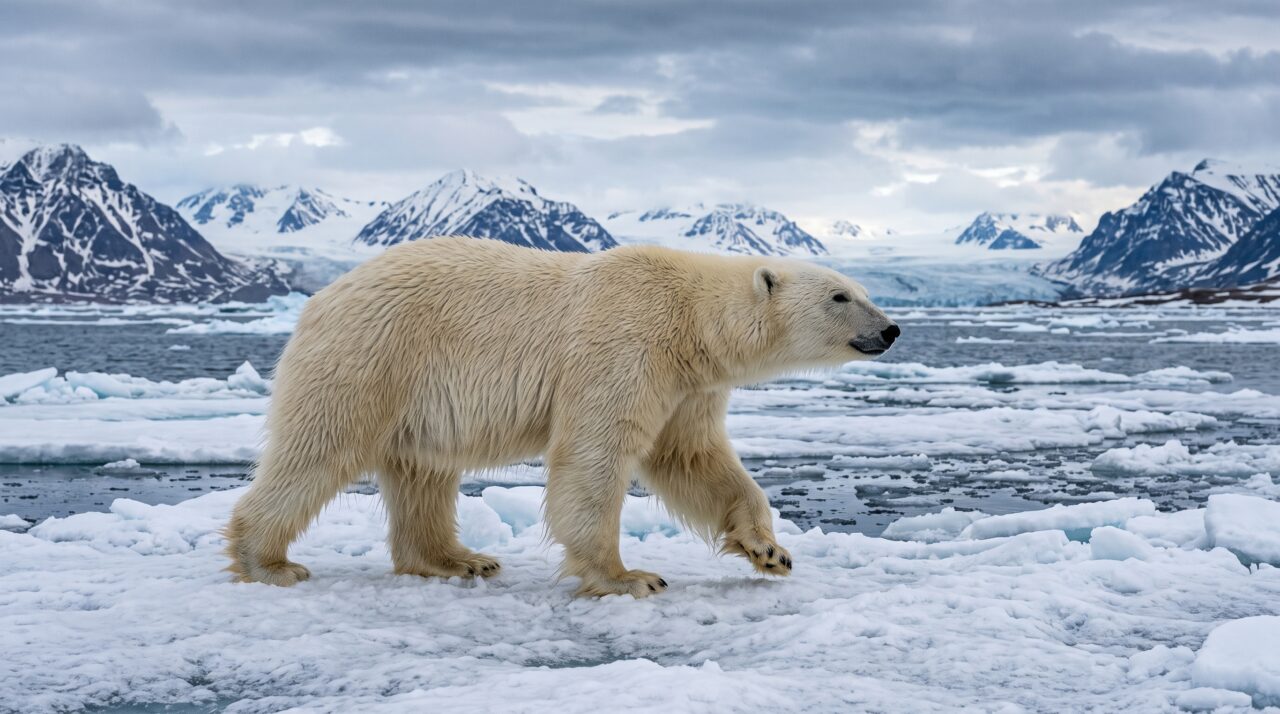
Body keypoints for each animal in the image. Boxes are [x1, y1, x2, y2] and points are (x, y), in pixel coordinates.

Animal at [225, 236, 898, 597]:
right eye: (840, 295)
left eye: (862, 290)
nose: (891, 329)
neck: (689, 318)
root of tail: (321, 296)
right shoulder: (625, 346)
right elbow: (595, 455)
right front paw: (630, 577)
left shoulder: (688, 385)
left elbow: (692, 458)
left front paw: (769, 550)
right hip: (371, 356)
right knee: (320, 447)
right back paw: (269, 562)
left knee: (422, 471)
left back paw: (460, 559)